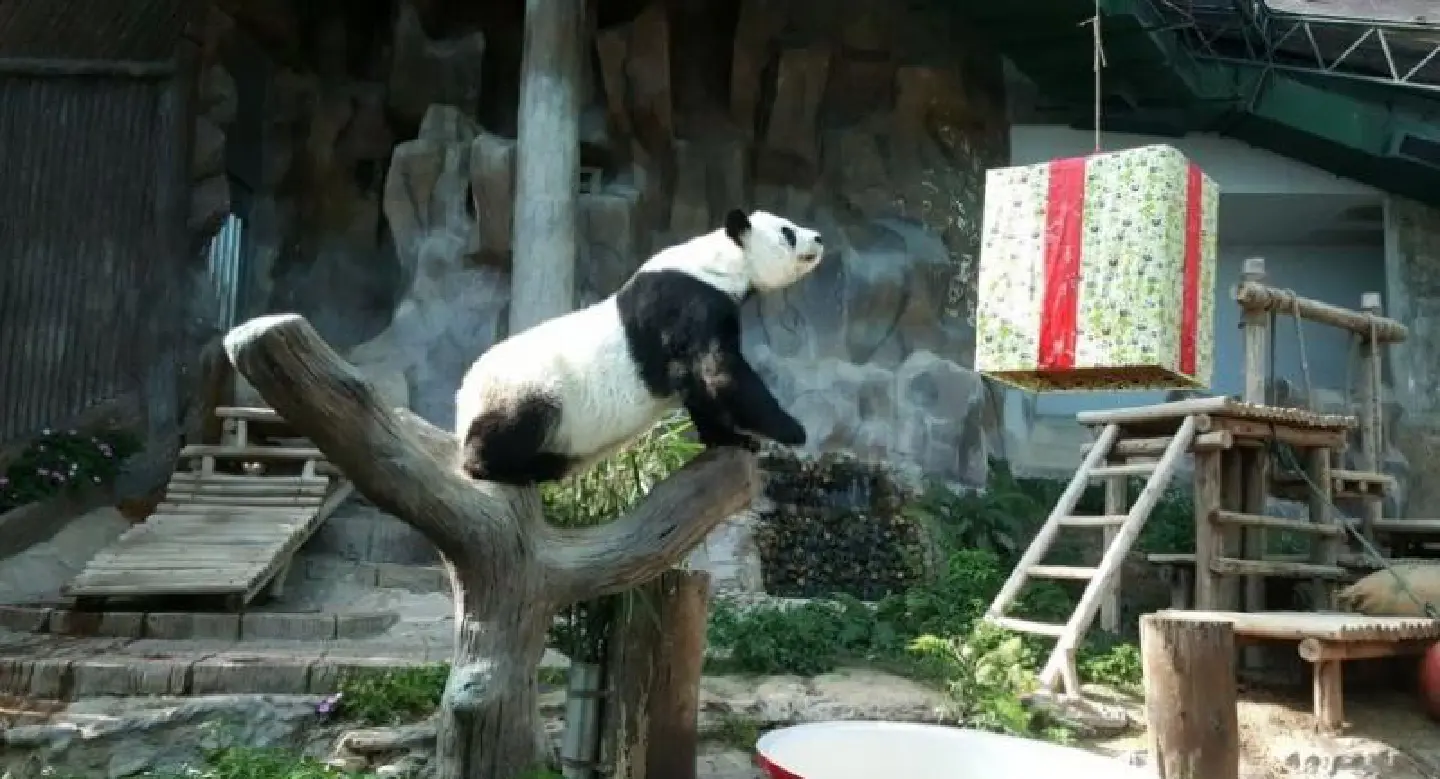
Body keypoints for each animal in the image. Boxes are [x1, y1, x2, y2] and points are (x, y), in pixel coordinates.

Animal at [454, 208, 825, 487]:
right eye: (788, 232)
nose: (819, 237)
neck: (720, 262)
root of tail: (463, 400)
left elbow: (700, 386)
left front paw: (732, 438)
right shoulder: (688, 303)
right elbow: (718, 371)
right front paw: (792, 431)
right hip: (529, 388)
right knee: (516, 427)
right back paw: (513, 469)